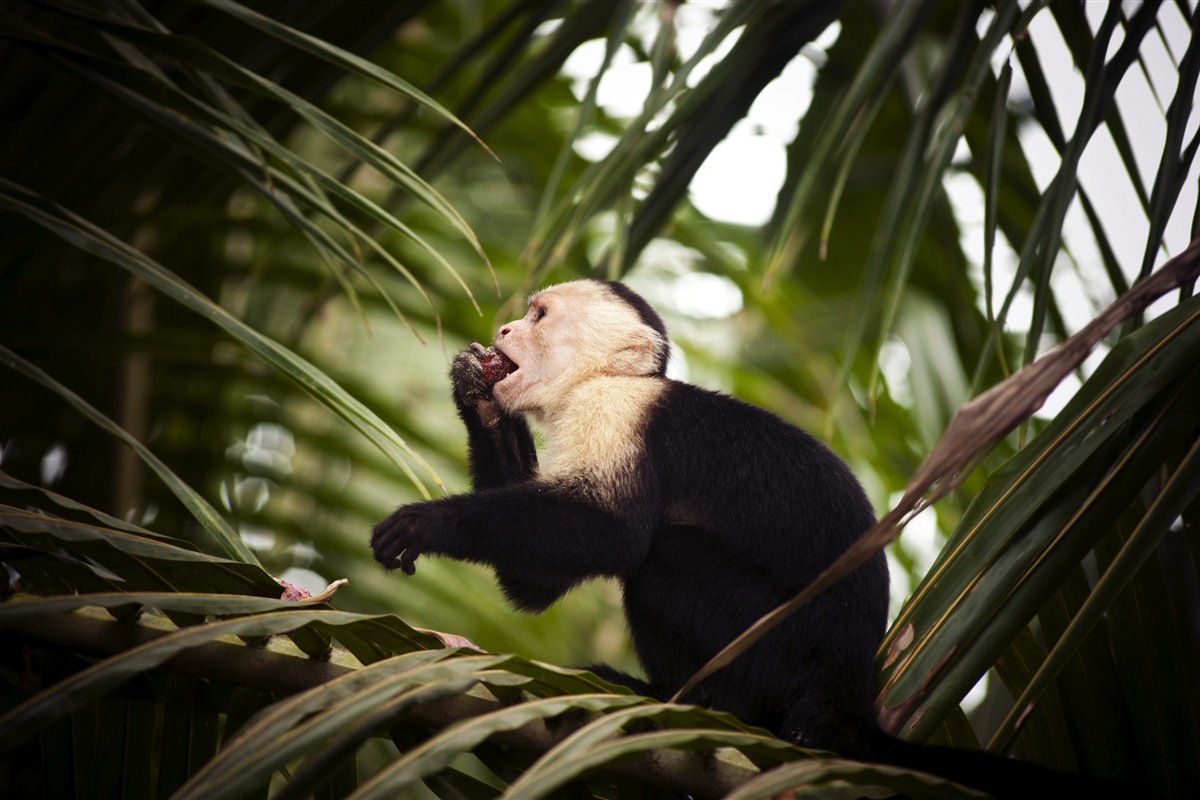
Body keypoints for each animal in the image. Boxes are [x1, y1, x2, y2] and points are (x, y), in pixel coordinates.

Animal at [372, 278, 1113, 796]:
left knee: (664, 559)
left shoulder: (619, 414)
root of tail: (846, 687)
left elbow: (608, 538)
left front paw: (427, 522)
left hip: (778, 649)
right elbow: (537, 583)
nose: (502, 327)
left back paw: (687, 702)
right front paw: (473, 391)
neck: (604, 381)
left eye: (539, 316)